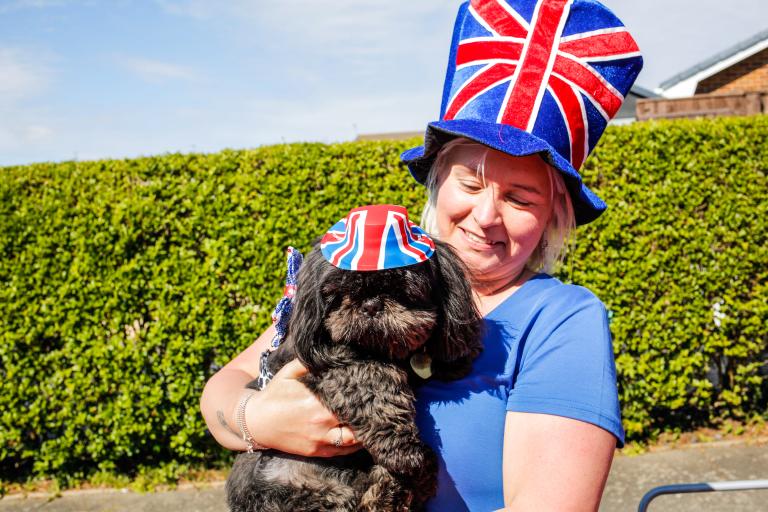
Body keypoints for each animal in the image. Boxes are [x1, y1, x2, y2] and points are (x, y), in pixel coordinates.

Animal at [225, 240, 484, 512]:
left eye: (400, 285)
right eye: (341, 291)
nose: (371, 304)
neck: (381, 350)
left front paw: (458, 358)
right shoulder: (333, 364)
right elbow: (374, 383)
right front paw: (402, 448)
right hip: (307, 493)